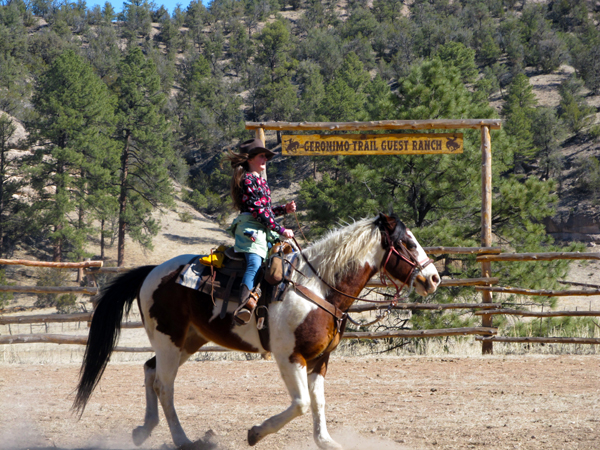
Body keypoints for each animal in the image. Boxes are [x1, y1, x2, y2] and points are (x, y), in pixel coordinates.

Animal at [75, 213, 440, 448]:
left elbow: (318, 404)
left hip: (187, 341)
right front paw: (255, 433)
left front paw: (325, 440)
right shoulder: (289, 357)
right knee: (165, 386)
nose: (434, 278)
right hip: (169, 340)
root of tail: (153, 271)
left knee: (150, 371)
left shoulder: (320, 360)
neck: (318, 288)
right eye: (408, 243)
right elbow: (301, 404)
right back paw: (183, 440)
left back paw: (144, 430)